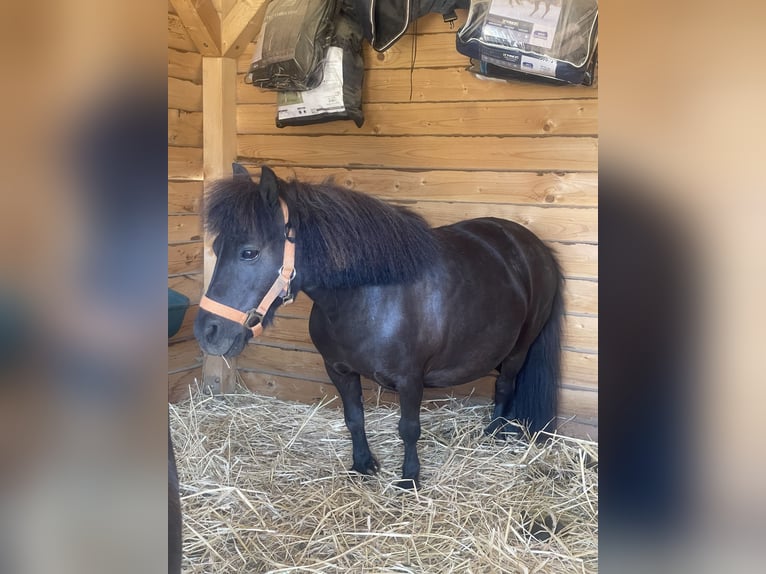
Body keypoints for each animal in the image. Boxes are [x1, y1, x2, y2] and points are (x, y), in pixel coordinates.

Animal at [194, 164, 564, 488]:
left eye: (249, 253)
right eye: (216, 247)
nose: (207, 332)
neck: (370, 296)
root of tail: (531, 245)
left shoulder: (410, 380)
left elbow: (409, 428)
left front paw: (409, 479)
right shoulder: (339, 370)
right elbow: (354, 417)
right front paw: (363, 465)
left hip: (519, 350)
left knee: (505, 386)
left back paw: (493, 433)